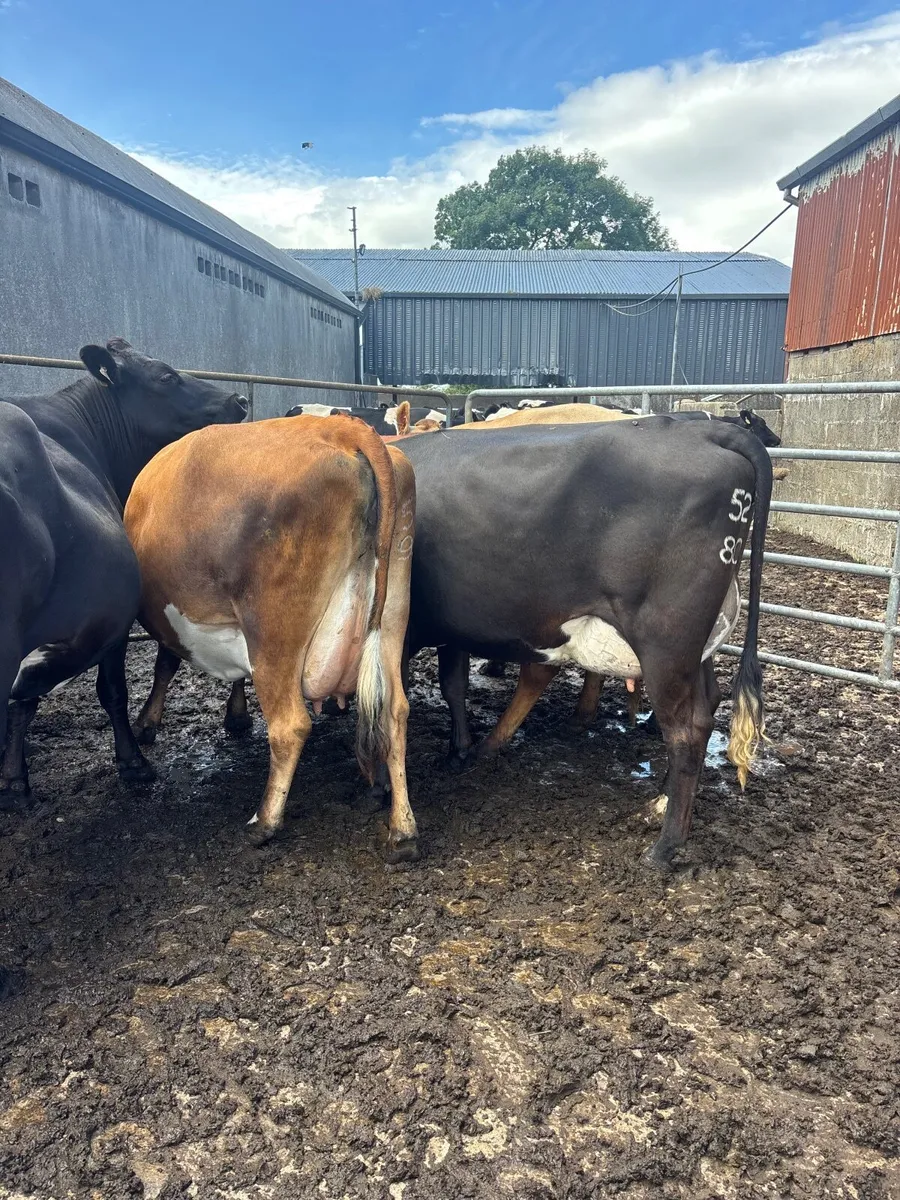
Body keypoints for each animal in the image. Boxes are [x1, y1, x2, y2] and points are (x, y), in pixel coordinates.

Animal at [0, 338, 248, 800]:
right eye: (166, 376)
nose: (238, 399)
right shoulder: (113, 623)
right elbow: (111, 690)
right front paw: (133, 762)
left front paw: (13, 776)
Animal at [124, 414, 419, 862]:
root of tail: (342, 429)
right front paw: (235, 715)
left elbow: (165, 662)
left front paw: (147, 723)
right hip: (392, 615)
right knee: (394, 712)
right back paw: (402, 831)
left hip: (272, 631)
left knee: (290, 726)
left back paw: (264, 822)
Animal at [396, 416, 772, 866]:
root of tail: (699, 428)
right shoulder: (452, 629)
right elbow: (453, 685)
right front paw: (459, 750)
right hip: (697, 643)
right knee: (709, 702)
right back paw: (658, 803)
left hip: (664, 638)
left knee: (688, 729)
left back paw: (664, 847)